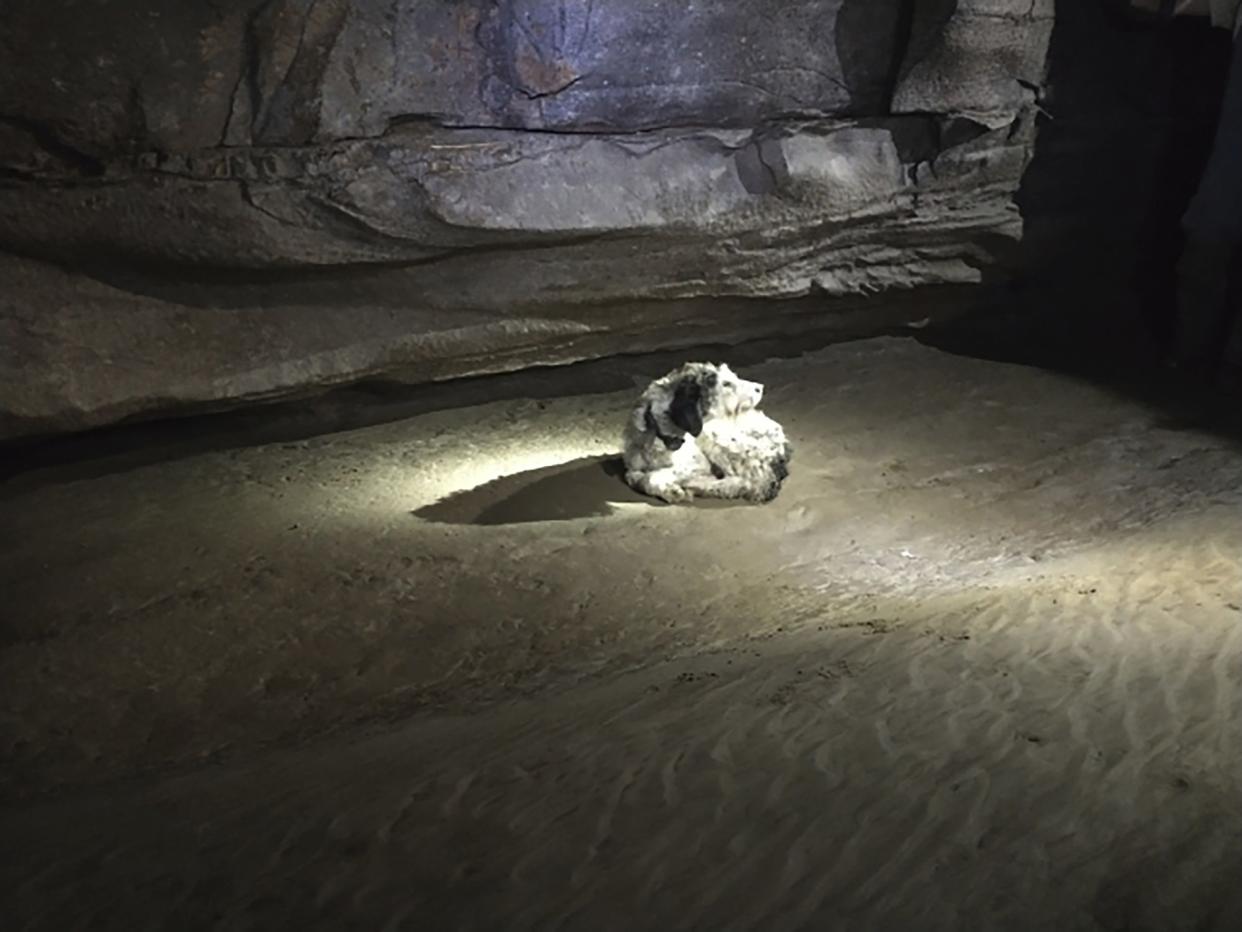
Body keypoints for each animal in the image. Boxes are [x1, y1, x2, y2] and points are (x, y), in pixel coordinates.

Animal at [621, 362, 794, 507]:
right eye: (726, 384)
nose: (761, 387)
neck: (659, 438)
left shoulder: (698, 463)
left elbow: (650, 476)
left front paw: (673, 489)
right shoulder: (632, 466)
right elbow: (633, 477)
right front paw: (670, 489)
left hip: (716, 437)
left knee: (759, 482)